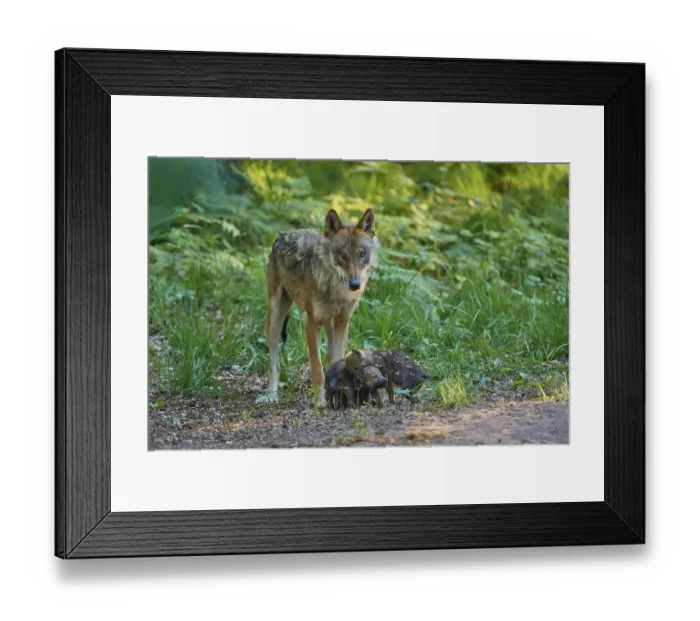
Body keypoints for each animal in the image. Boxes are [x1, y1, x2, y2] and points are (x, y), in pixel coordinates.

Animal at [263, 208, 379, 406]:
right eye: (342, 255)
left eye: (362, 254)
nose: (355, 284)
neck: (336, 291)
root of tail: (284, 234)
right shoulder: (311, 324)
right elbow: (317, 369)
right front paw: (320, 402)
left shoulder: (342, 323)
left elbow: (338, 361)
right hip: (275, 321)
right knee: (275, 363)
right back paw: (271, 394)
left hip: (330, 325)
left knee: (331, 357)